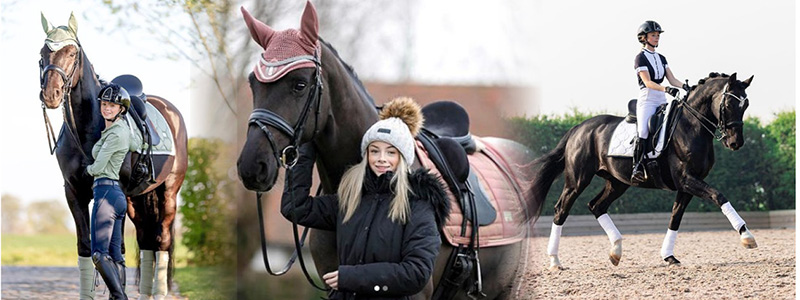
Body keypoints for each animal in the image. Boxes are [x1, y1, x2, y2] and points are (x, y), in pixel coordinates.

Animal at [39, 12, 188, 300]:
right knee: (146, 241)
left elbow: (115, 251)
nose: (51, 95)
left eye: (72, 53)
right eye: (42, 53)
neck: (89, 126)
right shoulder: (73, 192)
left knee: (161, 242)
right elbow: (86, 248)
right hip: (136, 200)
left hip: (168, 193)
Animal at [532, 72, 756, 270]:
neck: (690, 127)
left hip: (617, 183)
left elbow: (675, 217)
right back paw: (555, 261)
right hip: (577, 180)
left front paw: (668, 256)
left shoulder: (687, 184)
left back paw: (616, 251)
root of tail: (578, 128)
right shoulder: (686, 180)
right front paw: (746, 236)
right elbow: (718, 196)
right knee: (561, 210)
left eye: (745, 105)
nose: (735, 142)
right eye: (728, 105)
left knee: (596, 206)